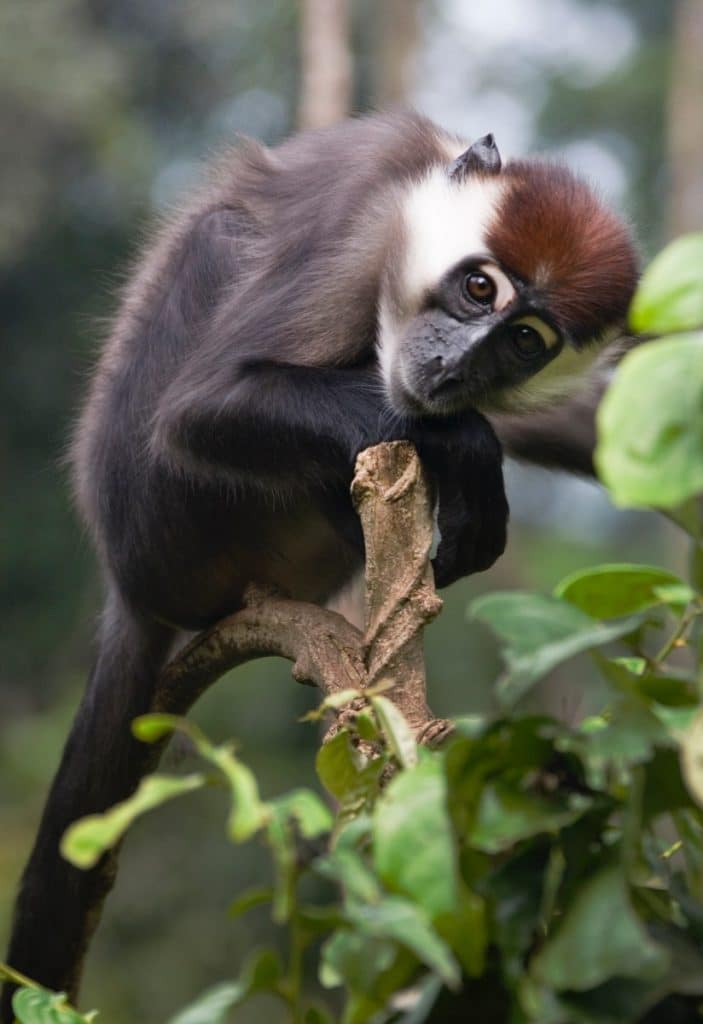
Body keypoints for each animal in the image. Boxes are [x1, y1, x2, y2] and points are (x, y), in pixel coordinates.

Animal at [1, 111, 637, 1018]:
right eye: (479, 291)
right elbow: (201, 411)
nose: (457, 367)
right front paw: (468, 449)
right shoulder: (359, 229)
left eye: (522, 342)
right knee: (221, 244)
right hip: (176, 523)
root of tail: (126, 586)